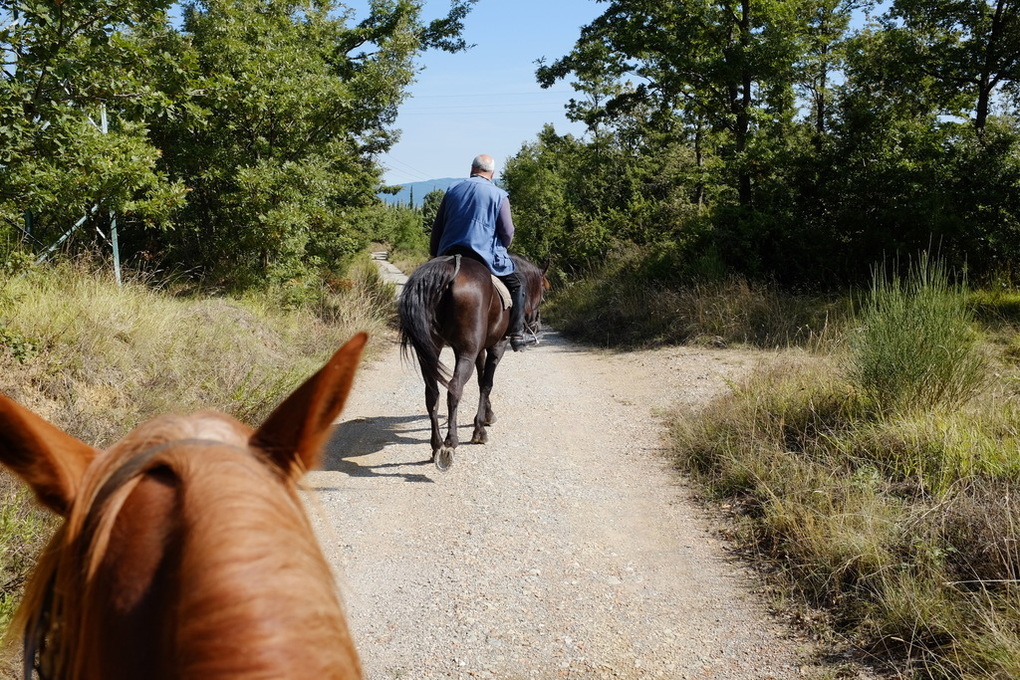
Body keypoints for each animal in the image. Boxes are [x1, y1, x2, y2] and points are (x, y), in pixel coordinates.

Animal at [398, 253, 548, 471]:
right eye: (543, 294)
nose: (537, 326)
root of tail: (451, 266)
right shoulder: (496, 346)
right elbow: (487, 383)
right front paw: (479, 429)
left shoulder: (479, 350)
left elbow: (480, 379)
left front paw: (488, 415)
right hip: (466, 353)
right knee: (454, 389)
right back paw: (450, 444)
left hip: (429, 354)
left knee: (432, 395)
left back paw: (436, 445)